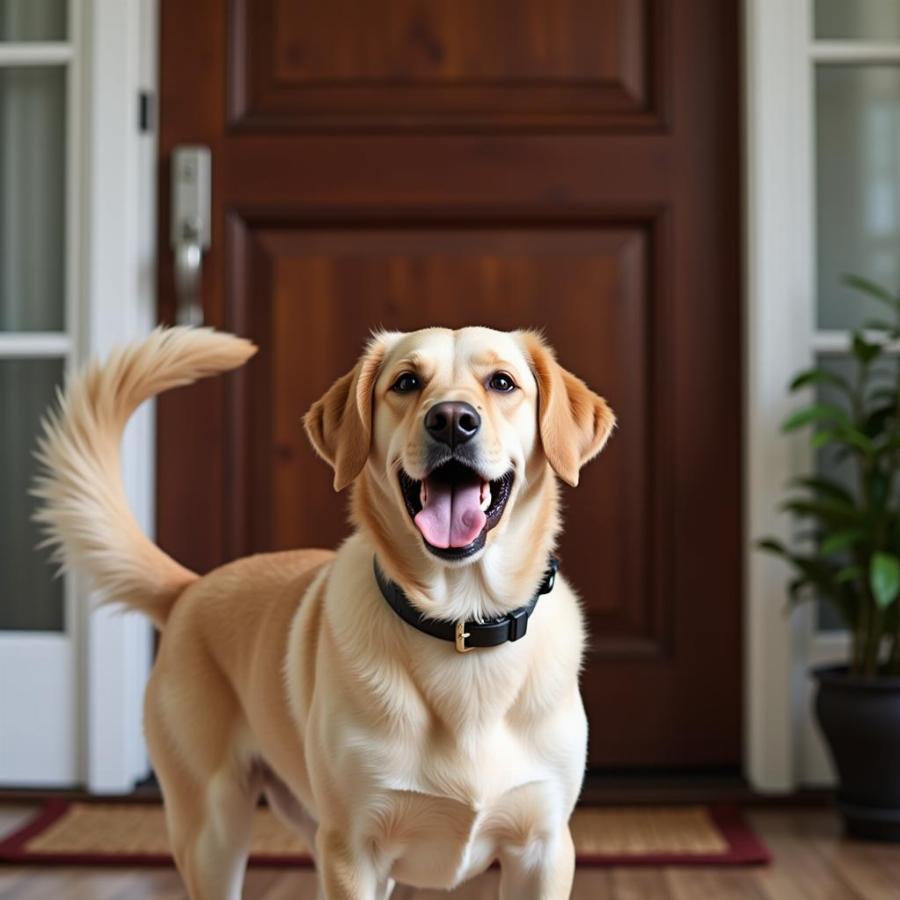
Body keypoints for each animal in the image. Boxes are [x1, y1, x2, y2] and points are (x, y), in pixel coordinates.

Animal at [33, 326, 612, 896]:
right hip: (214, 831)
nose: (451, 419)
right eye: (406, 382)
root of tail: (190, 588)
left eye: (502, 382)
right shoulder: (353, 852)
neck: (459, 623)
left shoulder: (543, 849)